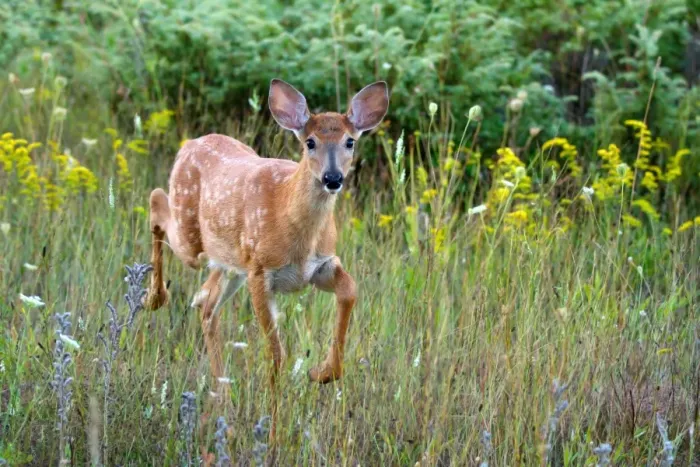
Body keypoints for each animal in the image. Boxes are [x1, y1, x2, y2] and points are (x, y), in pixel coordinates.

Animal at [144, 79, 389, 408]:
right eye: (310, 142)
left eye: (350, 141)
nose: (333, 178)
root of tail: (189, 144)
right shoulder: (261, 272)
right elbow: (276, 353)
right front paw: (273, 417)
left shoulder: (321, 265)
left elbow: (350, 291)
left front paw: (321, 373)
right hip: (192, 240)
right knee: (157, 200)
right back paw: (154, 298)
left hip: (231, 263)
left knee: (206, 302)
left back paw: (221, 393)